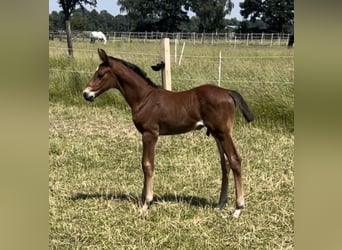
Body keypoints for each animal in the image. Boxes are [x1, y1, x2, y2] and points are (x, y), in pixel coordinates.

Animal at [83, 48, 254, 217]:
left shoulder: (150, 134)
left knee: (235, 160)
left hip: (223, 132)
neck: (144, 98)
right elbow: (144, 163)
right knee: (224, 163)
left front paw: (146, 203)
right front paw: (144, 198)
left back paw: (238, 208)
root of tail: (228, 92)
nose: (86, 94)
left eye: (100, 74)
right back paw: (220, 204)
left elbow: (147, 165)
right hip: (216, 133)